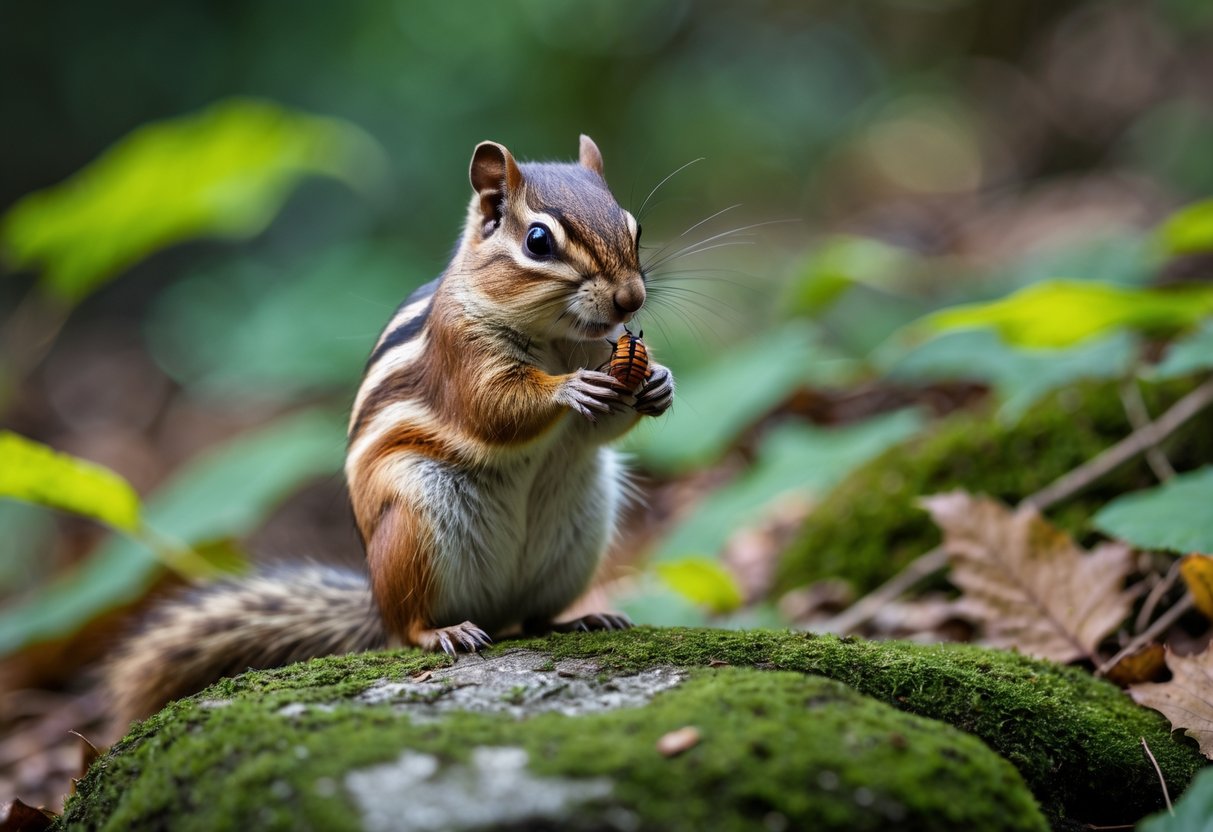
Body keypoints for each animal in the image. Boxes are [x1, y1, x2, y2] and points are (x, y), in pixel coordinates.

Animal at [104, 135, 675, 728]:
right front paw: (569, 389)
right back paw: (446, 631)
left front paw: (658, 381)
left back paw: (578, 620)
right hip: (412, 522)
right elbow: (493, 409)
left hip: (581, 528)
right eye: (538, 241)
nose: (631, 299)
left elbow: (596, 432)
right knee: (408, 629)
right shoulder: (459, 355)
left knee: (533, 619)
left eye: (633, 227)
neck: (560, 341)